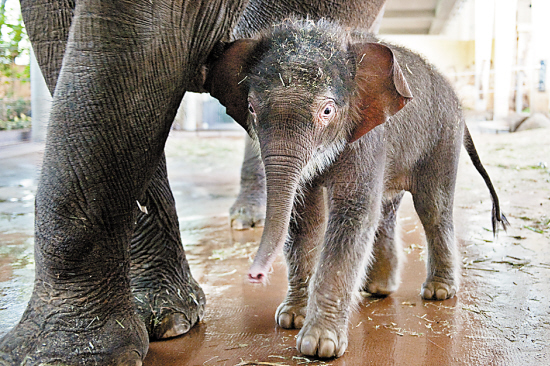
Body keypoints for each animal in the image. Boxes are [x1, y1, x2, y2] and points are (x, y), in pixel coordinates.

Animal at [206, 18, 508, 358]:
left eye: (327, 111)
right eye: (251, 108)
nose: (255, 276)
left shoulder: (367, 136)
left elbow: (353, 213)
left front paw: (318, 345)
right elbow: (304, 219)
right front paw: (291, 319)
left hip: (443, 136)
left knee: (433, 207)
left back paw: (438, 292)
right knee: (387, 210)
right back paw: (378, 289)